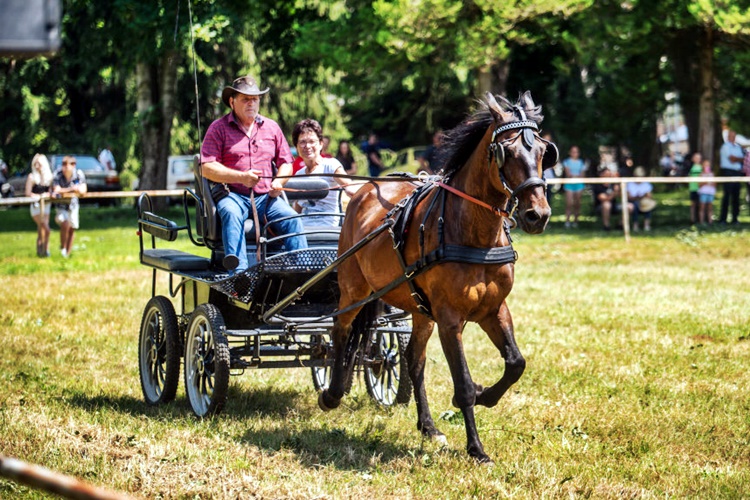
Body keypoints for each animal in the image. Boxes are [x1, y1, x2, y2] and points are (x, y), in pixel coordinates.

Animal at [320, 92, 556, 462]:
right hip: (354, 289)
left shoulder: (494, 309)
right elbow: (462, 381)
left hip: (419, 310)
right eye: (507, 151)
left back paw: (428, 426)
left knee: (413, 361)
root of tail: (364, 190)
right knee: (341, 330)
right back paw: (332, 392)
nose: (538, 215)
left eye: (544, 152)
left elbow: (516, 363)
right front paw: (476, 448)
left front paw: (485, 394)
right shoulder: (449, 318)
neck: (474, 233)